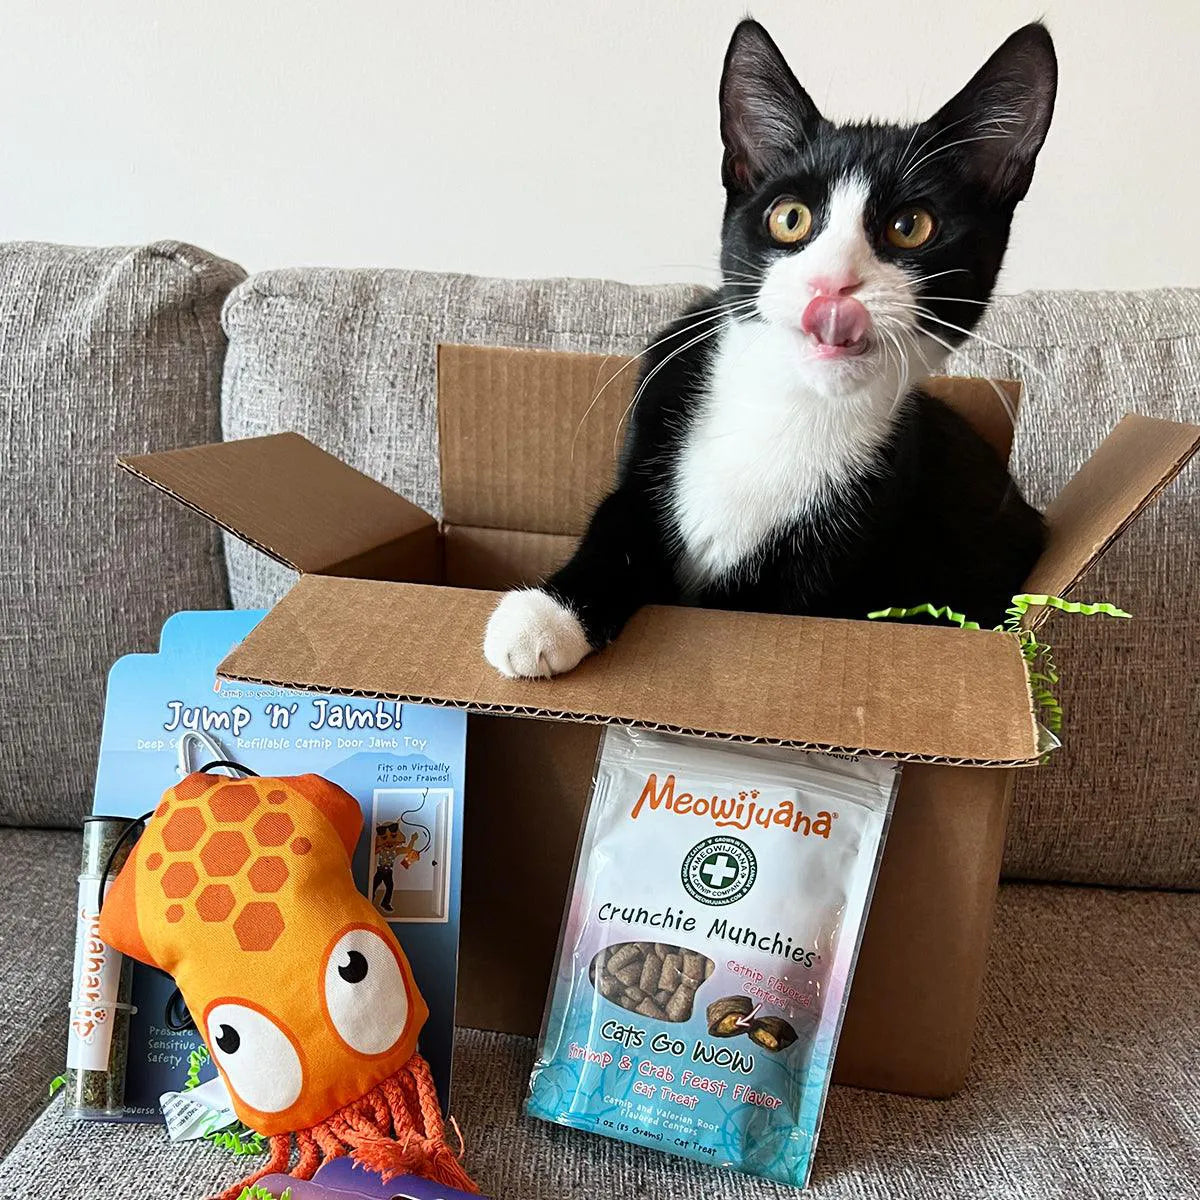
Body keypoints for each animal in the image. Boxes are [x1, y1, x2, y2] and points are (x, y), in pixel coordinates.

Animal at [482, 18, 1056, 681]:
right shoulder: (655, 413)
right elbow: (620, 519)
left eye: (911, 226)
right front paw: (545, 616)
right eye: (790, 218)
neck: (784, 403)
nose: (833, 284)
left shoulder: (853, 531)